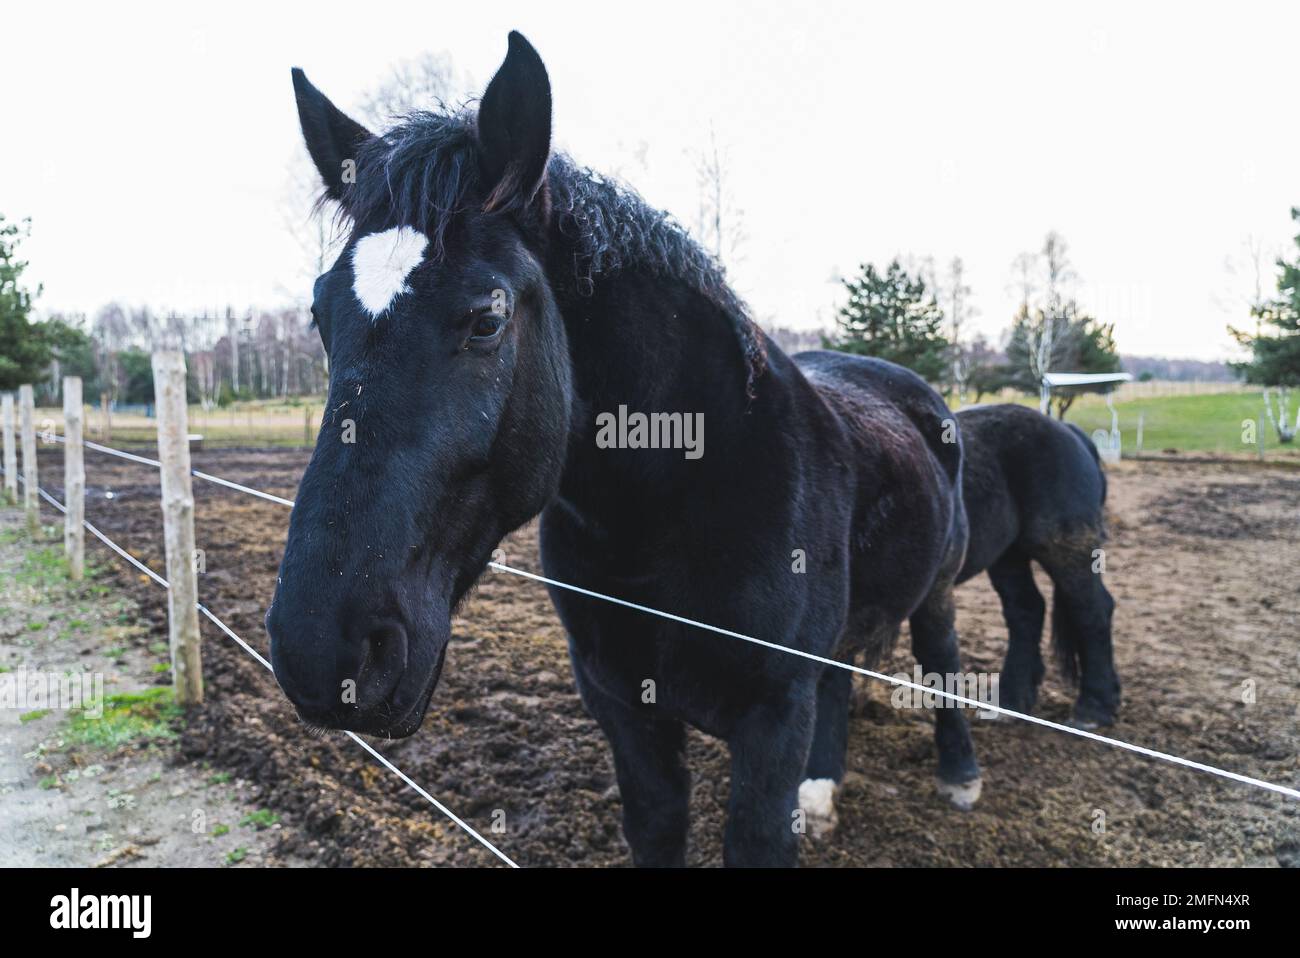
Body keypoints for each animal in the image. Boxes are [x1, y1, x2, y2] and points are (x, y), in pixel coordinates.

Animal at [266, 31, 981, 867]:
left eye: (487, 318)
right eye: (320, 314)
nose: (323, 652)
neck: (688, 495)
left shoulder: (773, 716)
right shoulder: (623, 708)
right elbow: (657, 824)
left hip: (938, 591)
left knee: (943, 657)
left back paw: (960, 777)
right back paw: (824, 790)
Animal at [955, 403, 1119, 728]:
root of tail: (1069, 431)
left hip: (1066, 551)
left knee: (1093, 611)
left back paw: (1093, 707)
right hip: (1008, 555)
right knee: (1026, 610)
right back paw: (1010, 698)